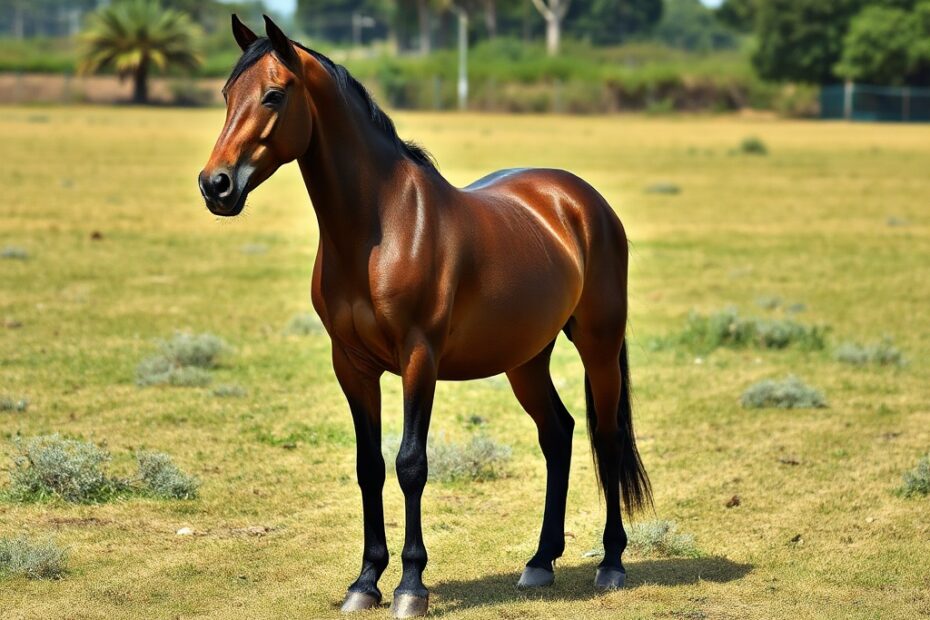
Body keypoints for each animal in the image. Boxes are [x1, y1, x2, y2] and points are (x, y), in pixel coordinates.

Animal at [199, 15, 652, 619]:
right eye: (227, 94)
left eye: (274, 94)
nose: (215, 185)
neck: (380, 228)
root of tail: (581, 200)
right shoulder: (352, 365)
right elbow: (369, 466)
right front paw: (365, 581)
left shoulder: (419, 358)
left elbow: (410, 463)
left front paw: (411, 585)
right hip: (526, 359)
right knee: (558, 435)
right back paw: (539, 563)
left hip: (598, 345)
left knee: (606, 435)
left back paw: (612, 564)